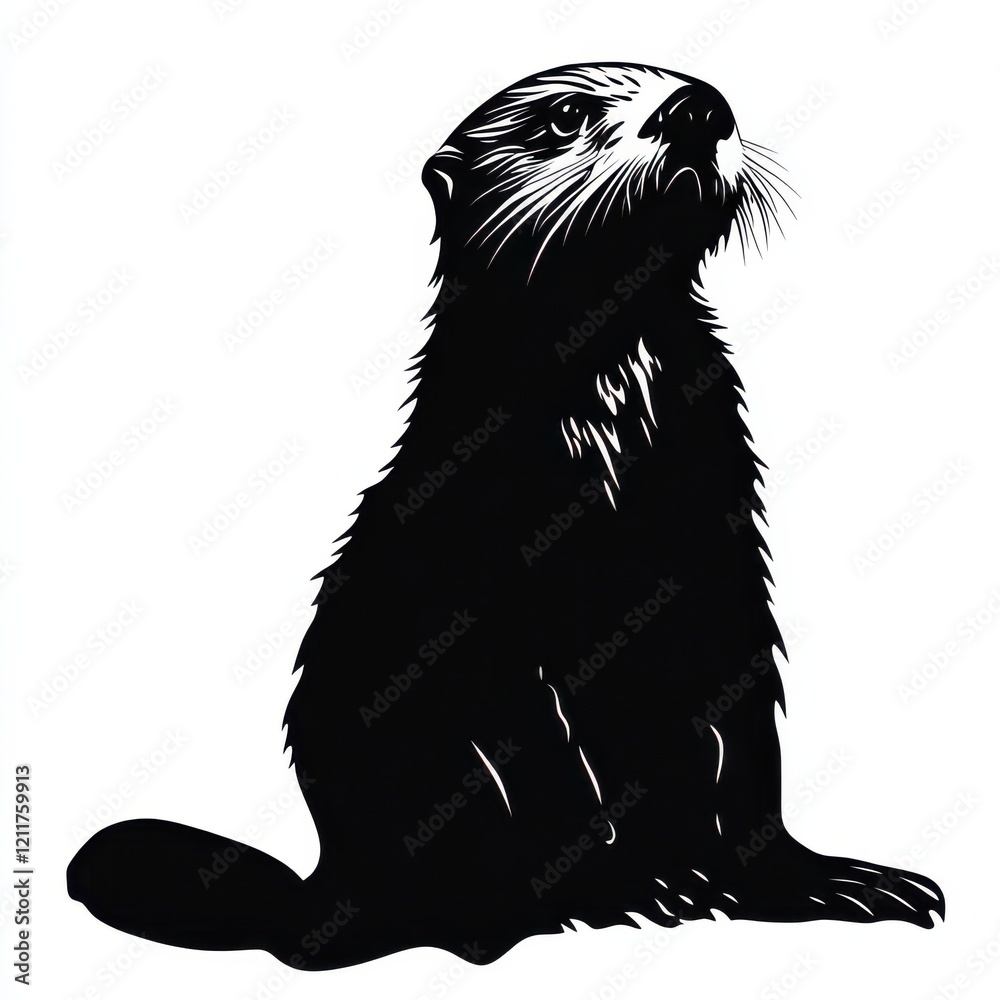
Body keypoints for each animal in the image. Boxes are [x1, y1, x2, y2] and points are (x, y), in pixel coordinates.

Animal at [67, 62, 944, 971]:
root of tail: (331, 888)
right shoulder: (486, 594)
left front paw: (835, 883)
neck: (607, 448)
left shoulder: (721, 550)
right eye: (565, 115)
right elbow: (527, 731)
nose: (699, 108)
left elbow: (740, 733)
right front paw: (622, 889)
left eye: (705, 93)